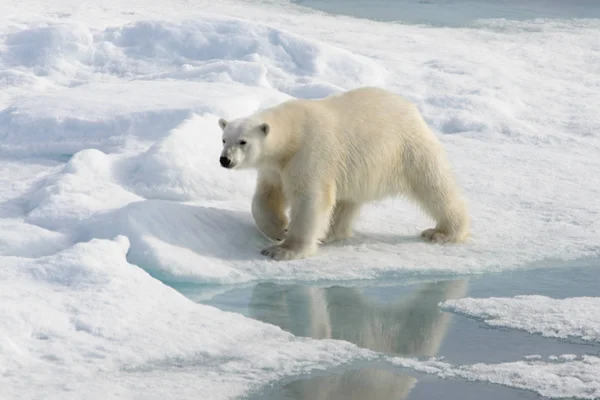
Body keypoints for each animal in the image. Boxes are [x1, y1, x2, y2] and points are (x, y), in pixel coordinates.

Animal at [218, 86, 472, 260]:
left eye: (243, 141)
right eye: (224, 139)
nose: (225, 160)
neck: (292, 136)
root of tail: (412, 109)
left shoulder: (311, 154)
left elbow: (311, 199)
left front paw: (283, 250)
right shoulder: (275, 167)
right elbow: (267, 196)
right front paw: (279, 228)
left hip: (408, 149)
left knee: (435, 186)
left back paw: (442, 232)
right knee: (346, 202)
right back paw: (331, 233)